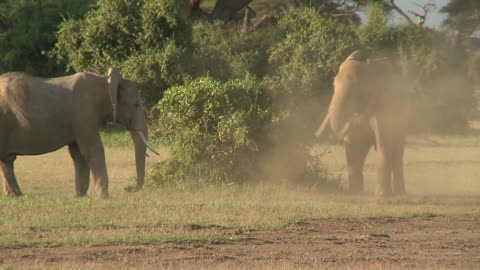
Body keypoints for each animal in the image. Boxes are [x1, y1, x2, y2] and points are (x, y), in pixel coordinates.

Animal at [316, 50, 408, 197]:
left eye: (359, 91)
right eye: (333, 85)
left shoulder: (385, 106)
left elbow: (383, 143)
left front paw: (382, 196)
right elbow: (353, 145)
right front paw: (354, 192)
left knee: (397, 149)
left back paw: (400, 193)